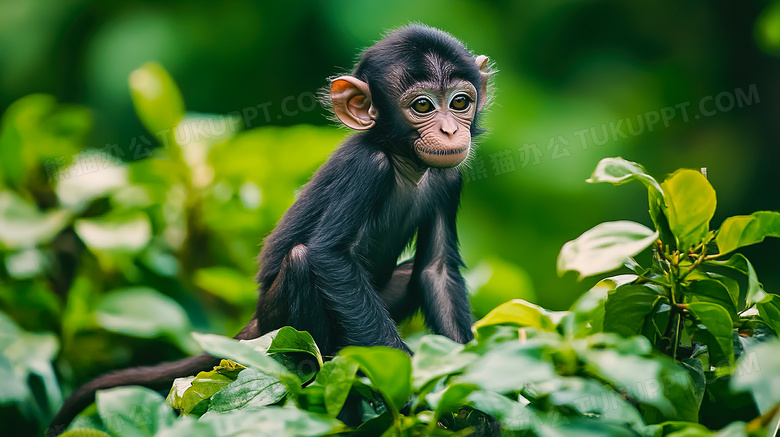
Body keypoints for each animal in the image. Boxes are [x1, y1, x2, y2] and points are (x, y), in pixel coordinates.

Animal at [48, 25, 490, 434]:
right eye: (422, 105)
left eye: (460, 102)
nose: (450, 130)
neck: (402, 162)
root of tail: (255, 324)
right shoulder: (366, 168)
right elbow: (329, 257)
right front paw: (412, 390)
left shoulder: (450, 180)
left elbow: (436, 270)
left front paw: (473, 404)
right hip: (277, 325)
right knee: (302, 264)